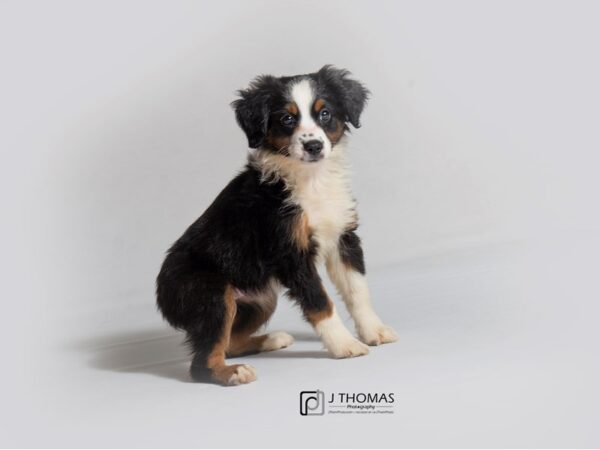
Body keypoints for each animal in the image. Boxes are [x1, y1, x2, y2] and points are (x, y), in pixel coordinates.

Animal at [157, 65, 396, 384]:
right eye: (287, 119)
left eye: (325, 114)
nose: (313, 145)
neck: (312, 179)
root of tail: (162, 296)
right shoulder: (290, 252)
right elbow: (320, 302)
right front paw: (344, 345)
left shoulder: (343, 237)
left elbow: (358, 291)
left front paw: (374, 330)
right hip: (213, 296)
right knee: (202, 362)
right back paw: (234, 372)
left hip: (261, 299)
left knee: (229, 343)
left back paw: (271, 340)